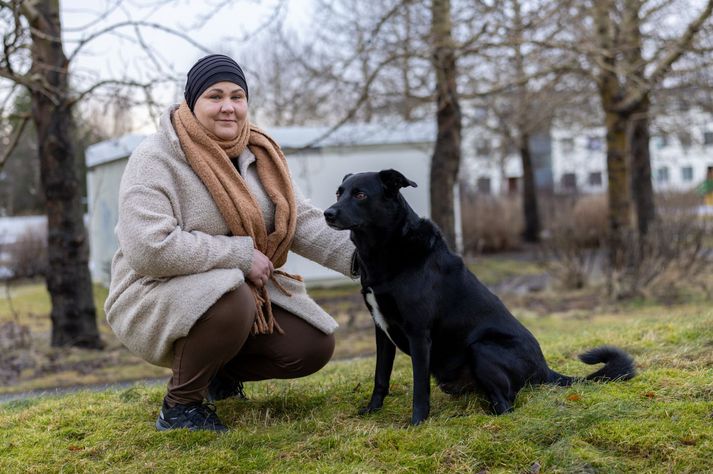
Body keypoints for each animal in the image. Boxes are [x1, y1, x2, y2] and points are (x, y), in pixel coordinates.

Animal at [322, 168, 636, 424]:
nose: (328, 213)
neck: (385, 249)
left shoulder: (419, 333)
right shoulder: (381, 330)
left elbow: (420, 386)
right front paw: (372, 411)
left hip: (482, 348)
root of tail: (545, 370)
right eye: (339, 192)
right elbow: (380, 377)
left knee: (507, 405)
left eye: (360, 194)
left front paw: (417, 423)